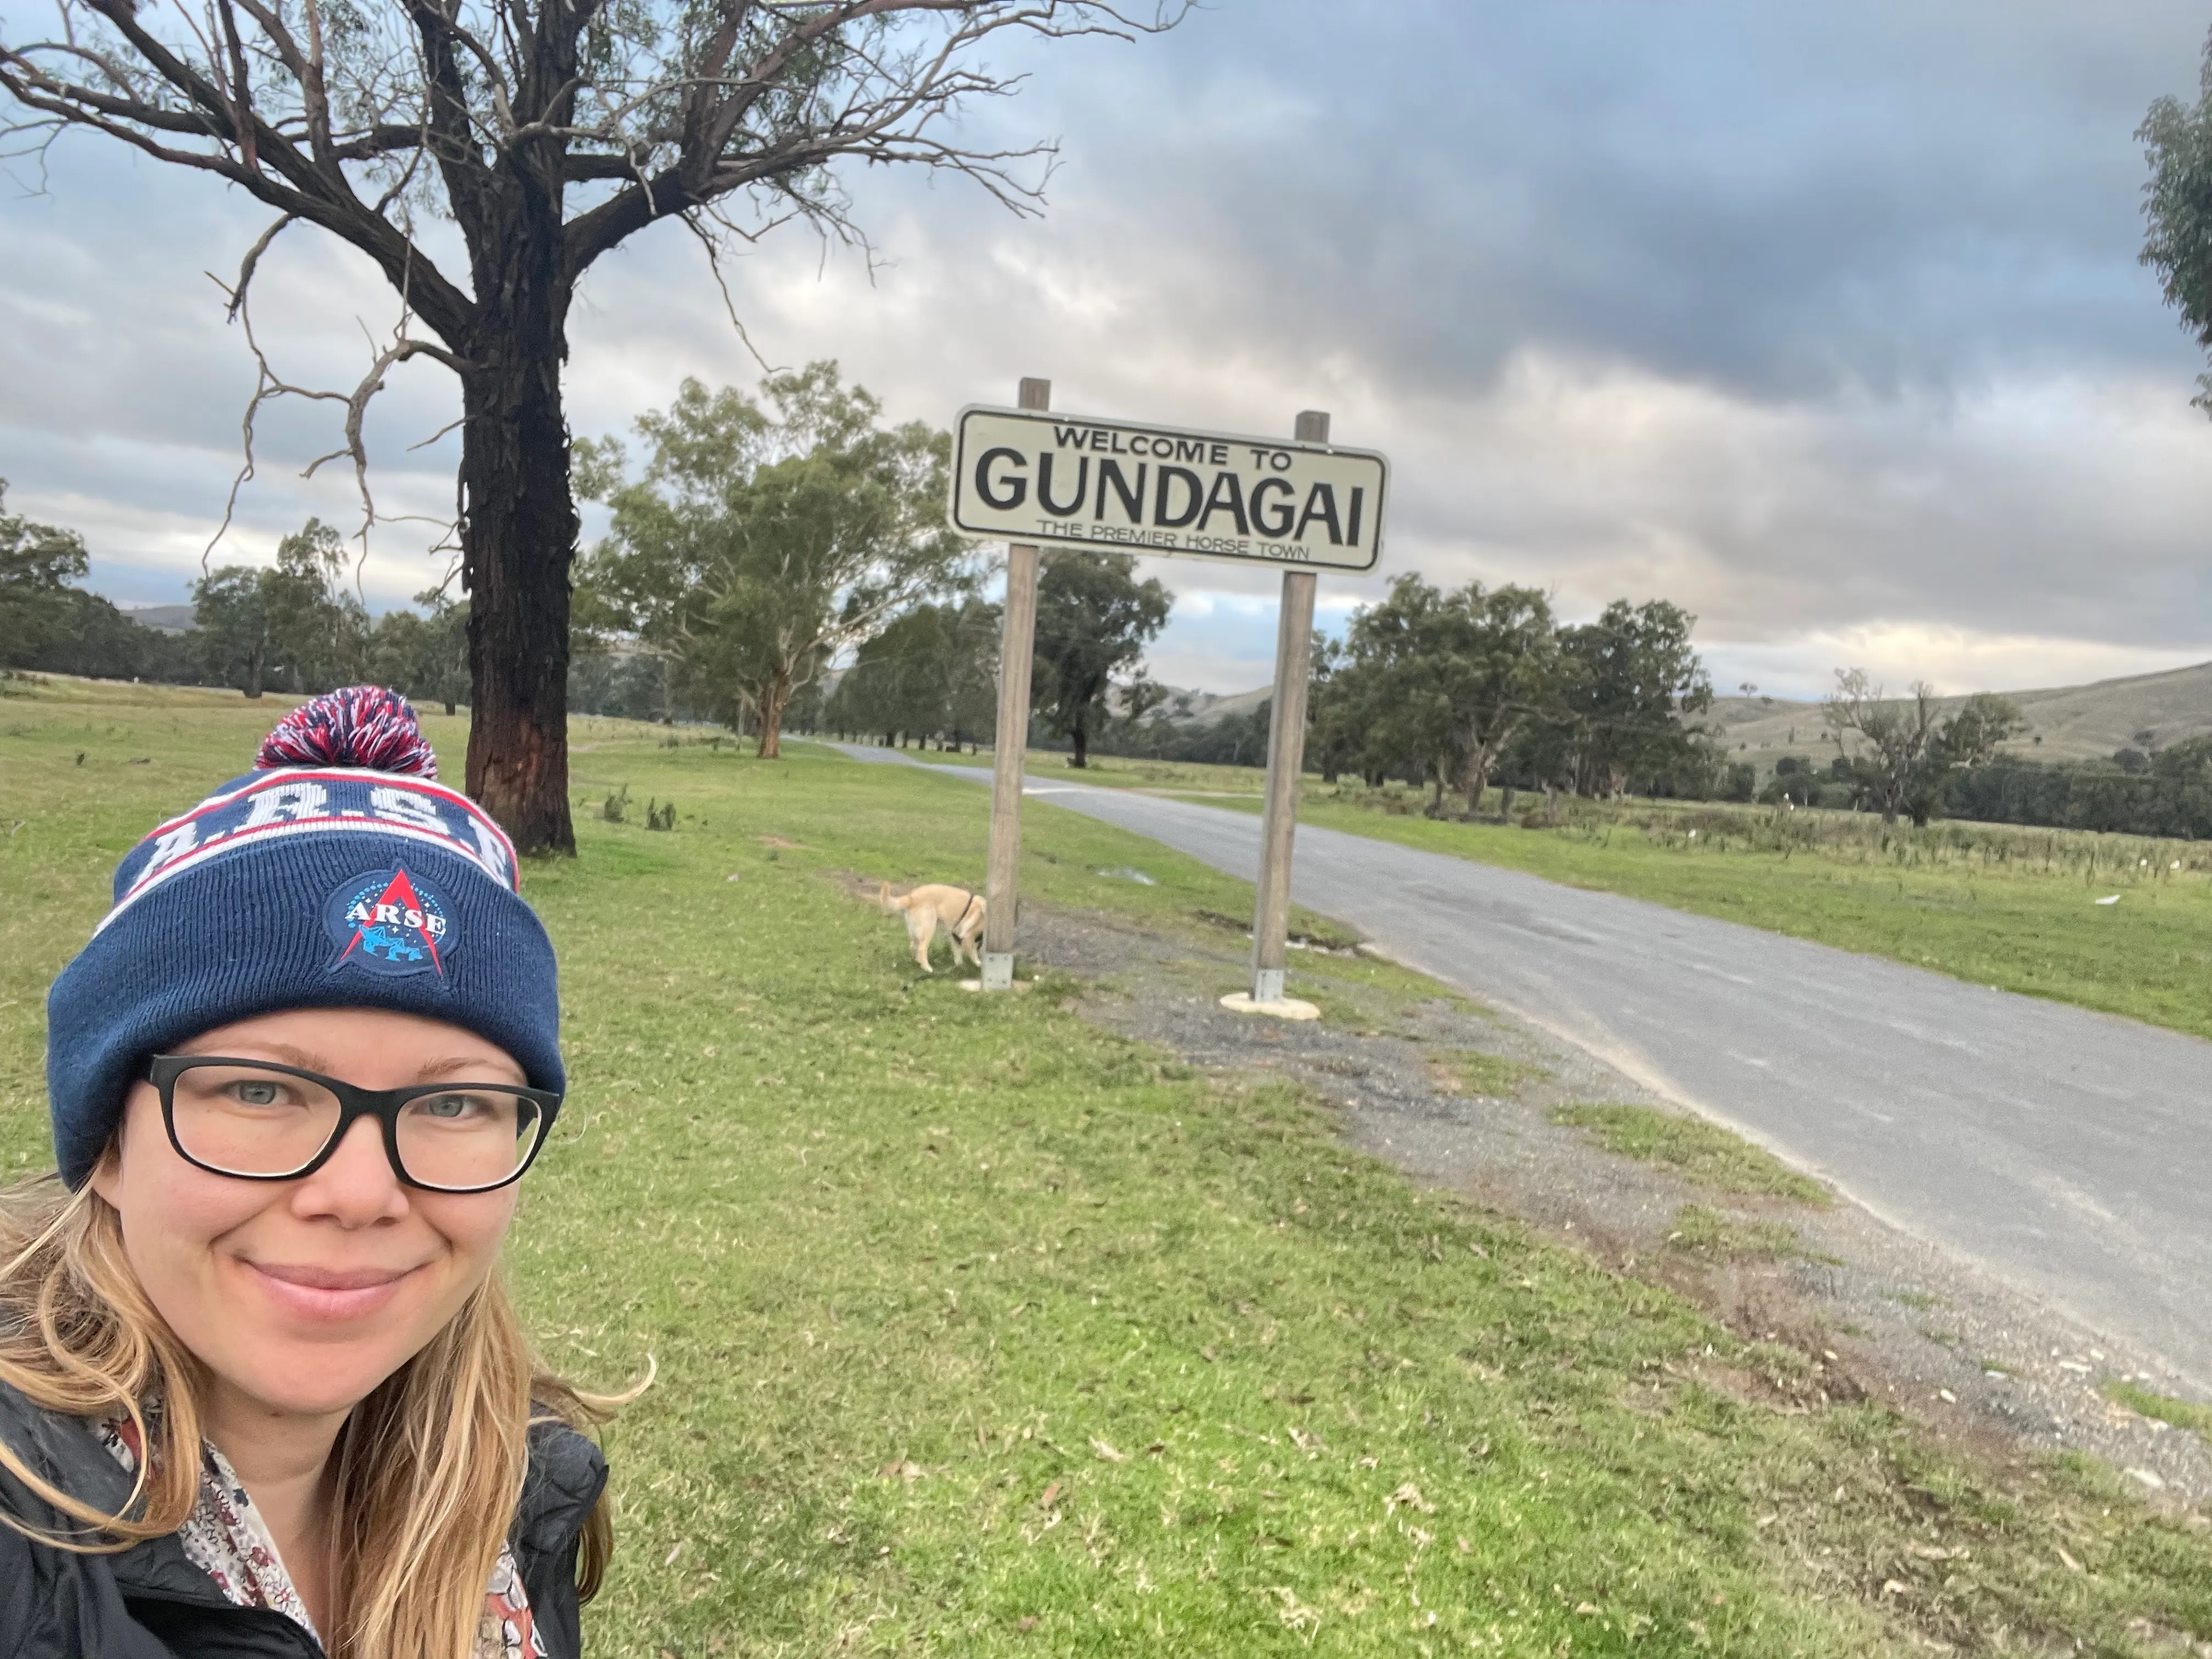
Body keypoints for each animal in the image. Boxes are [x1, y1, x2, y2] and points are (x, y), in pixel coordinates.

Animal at [880, 884, 986, 973]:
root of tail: (911, 897)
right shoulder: (968, 935)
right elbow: (972, 951)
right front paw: (978, 964)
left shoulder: (954, 934)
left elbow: (958, 951)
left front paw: (959, 965)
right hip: (929, 929)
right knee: (922, 949)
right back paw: (927, 968)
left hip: (915, 932)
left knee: (914, 947)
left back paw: (919, 963)